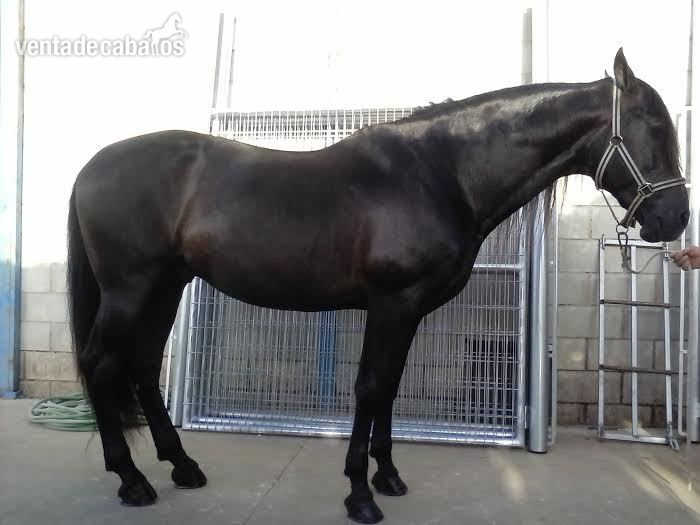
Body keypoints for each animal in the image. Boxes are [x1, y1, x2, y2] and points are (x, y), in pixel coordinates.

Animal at [66, 49, 688, 523]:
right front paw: (360, 495)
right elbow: (368, 387)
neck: (439, 172)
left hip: (166, 285)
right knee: (101, 363)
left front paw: (387, 476)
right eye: (654, 128)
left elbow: (389, 386)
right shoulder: (392, 302)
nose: (674, 219)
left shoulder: (410, 310)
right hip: (129, 289)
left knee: (144, 365)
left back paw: (182, 467)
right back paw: (131, 480)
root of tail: (91, 166)